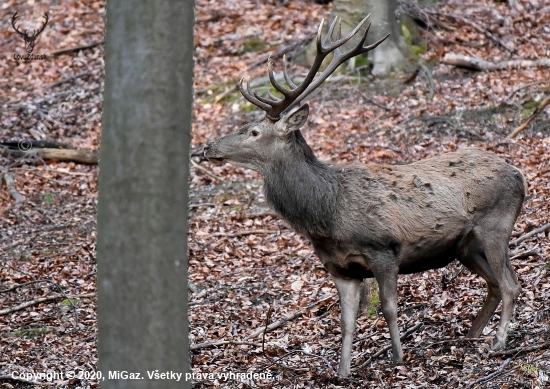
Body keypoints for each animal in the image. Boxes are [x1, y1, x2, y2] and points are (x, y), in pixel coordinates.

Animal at [202, 14, 528, 376]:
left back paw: (497, 343)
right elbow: (346, 322)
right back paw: (470, 338)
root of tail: (518, 175)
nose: (207, 147)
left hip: (495, 226)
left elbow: (388, 307)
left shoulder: (384, 248)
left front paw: (398, 359)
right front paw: (342, 372)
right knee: (496, 284)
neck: (327, 215)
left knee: (511, 284)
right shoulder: (340, 268)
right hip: (465, 246)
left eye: (254, 132)